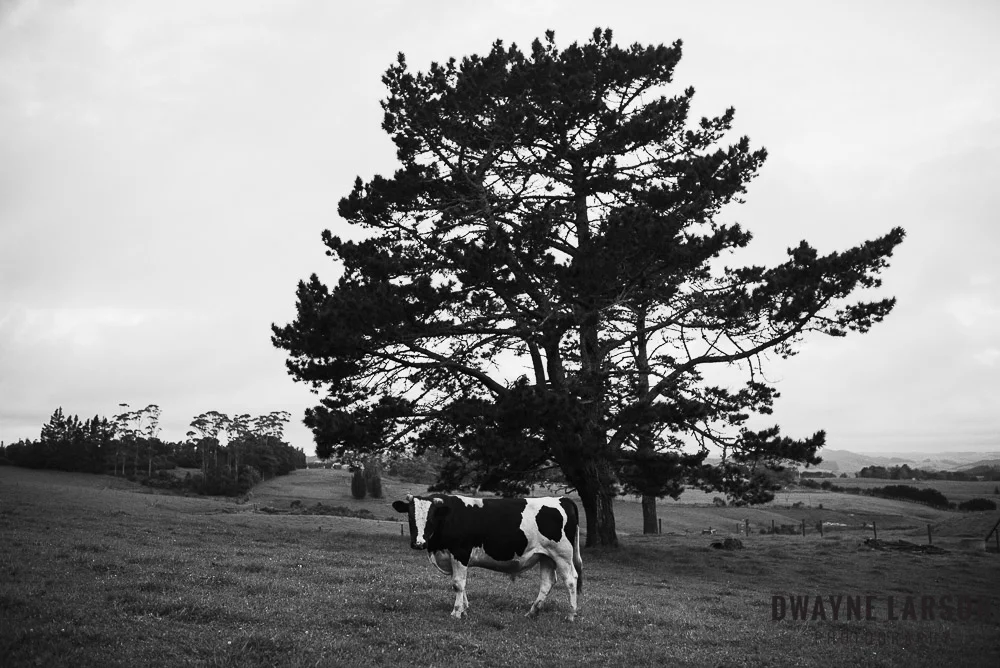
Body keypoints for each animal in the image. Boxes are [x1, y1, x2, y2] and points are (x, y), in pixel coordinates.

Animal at [392, 494, 583, 621]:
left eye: (431, 517)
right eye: (410, 516)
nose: (418, 543)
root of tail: (562, 499)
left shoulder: (460, 553)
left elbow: (458, 584)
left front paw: (456, 612)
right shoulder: (454, 558)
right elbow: (461, 584)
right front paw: (464, 609)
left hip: (562, 555)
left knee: (571, 580)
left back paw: (571, 614)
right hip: (546, 556)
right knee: (547, 582)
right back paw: (532, 612)